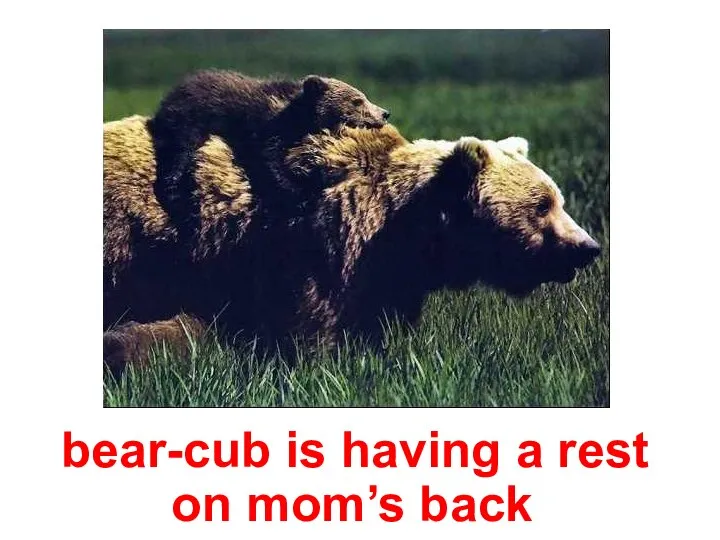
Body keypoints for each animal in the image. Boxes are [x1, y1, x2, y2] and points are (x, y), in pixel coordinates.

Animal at [100, 114, 596, 376]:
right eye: (542, 205)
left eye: (557, 198)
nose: (587, 247)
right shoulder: (316, 256)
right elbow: (309, 333)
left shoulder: (386, 280)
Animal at [148, 69, 390, 243]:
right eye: (357, 100)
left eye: (363, 96)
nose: (384, 113)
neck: (296, 116)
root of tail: (170, 94)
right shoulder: (263, 127)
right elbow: (268, 163)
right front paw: (300, 192)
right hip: (190, 118)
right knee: (179, 153)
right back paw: (173, 193)